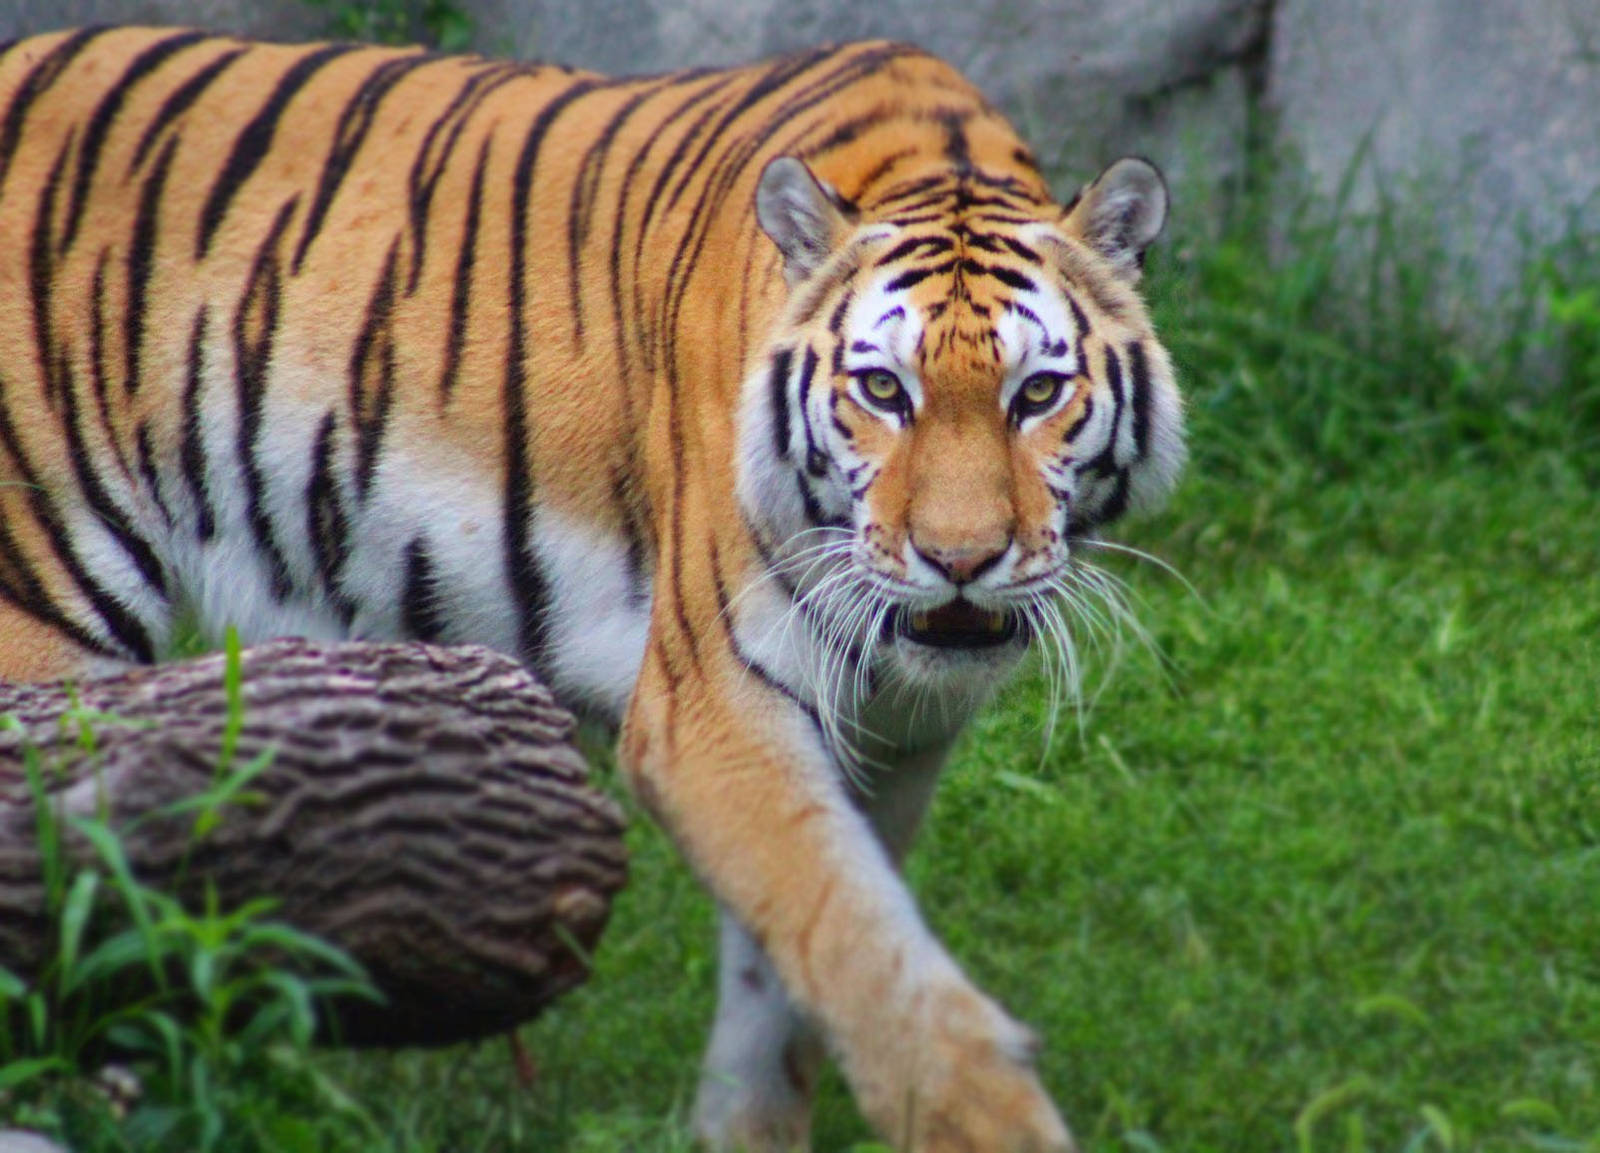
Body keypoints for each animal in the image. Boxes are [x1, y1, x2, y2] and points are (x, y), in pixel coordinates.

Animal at [0, 25, 1185, 1152]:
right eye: (883, 391)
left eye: (1038, 393)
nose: (959, 558)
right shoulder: (713, 702)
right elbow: (851, 931)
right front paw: (987, 1122)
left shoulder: (892, 741)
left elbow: (787, 967)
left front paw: (744, 1133)